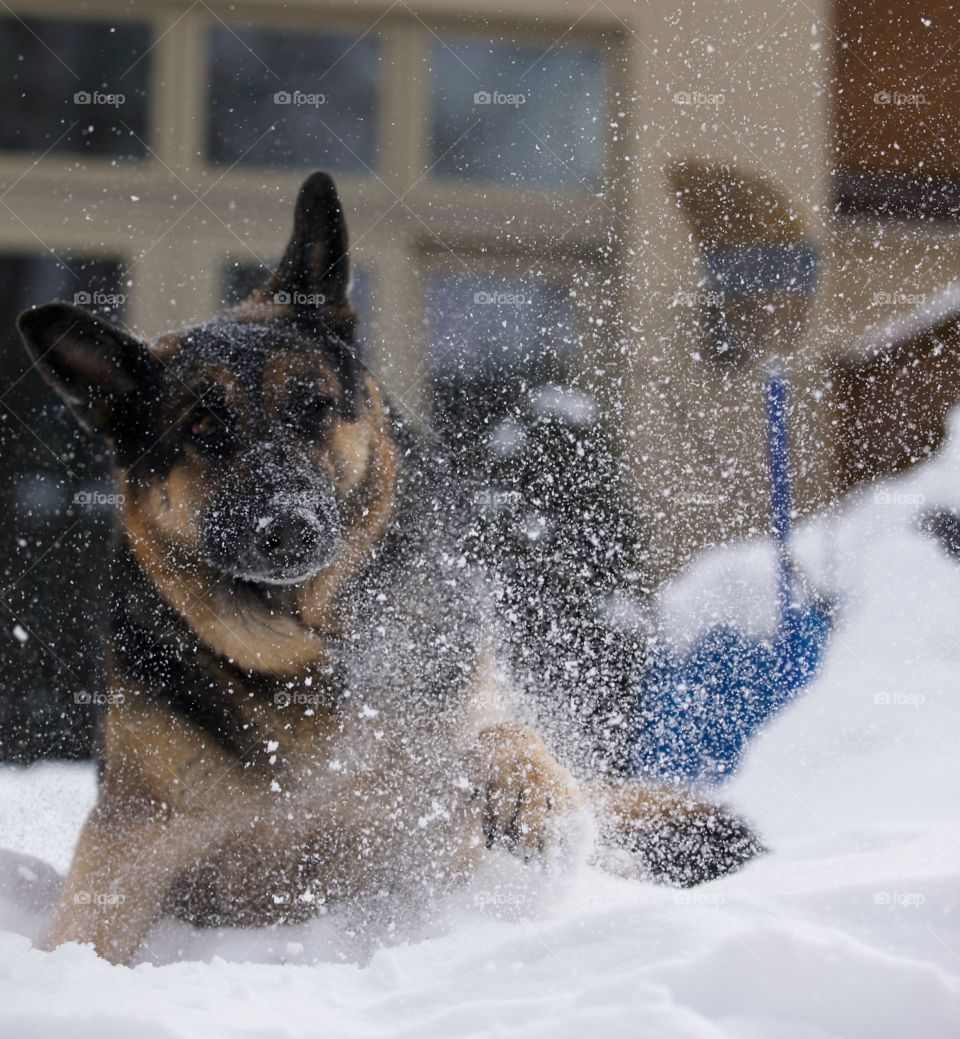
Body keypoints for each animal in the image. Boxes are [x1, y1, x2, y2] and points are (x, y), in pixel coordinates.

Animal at [16, 172, 764, 964]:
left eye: (312, 404)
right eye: (204, 426)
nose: (290, 525)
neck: (303, 656)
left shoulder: (438, 773)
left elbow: (498, 732)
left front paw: (536, 795)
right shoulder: (131, 840)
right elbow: (85, 932)